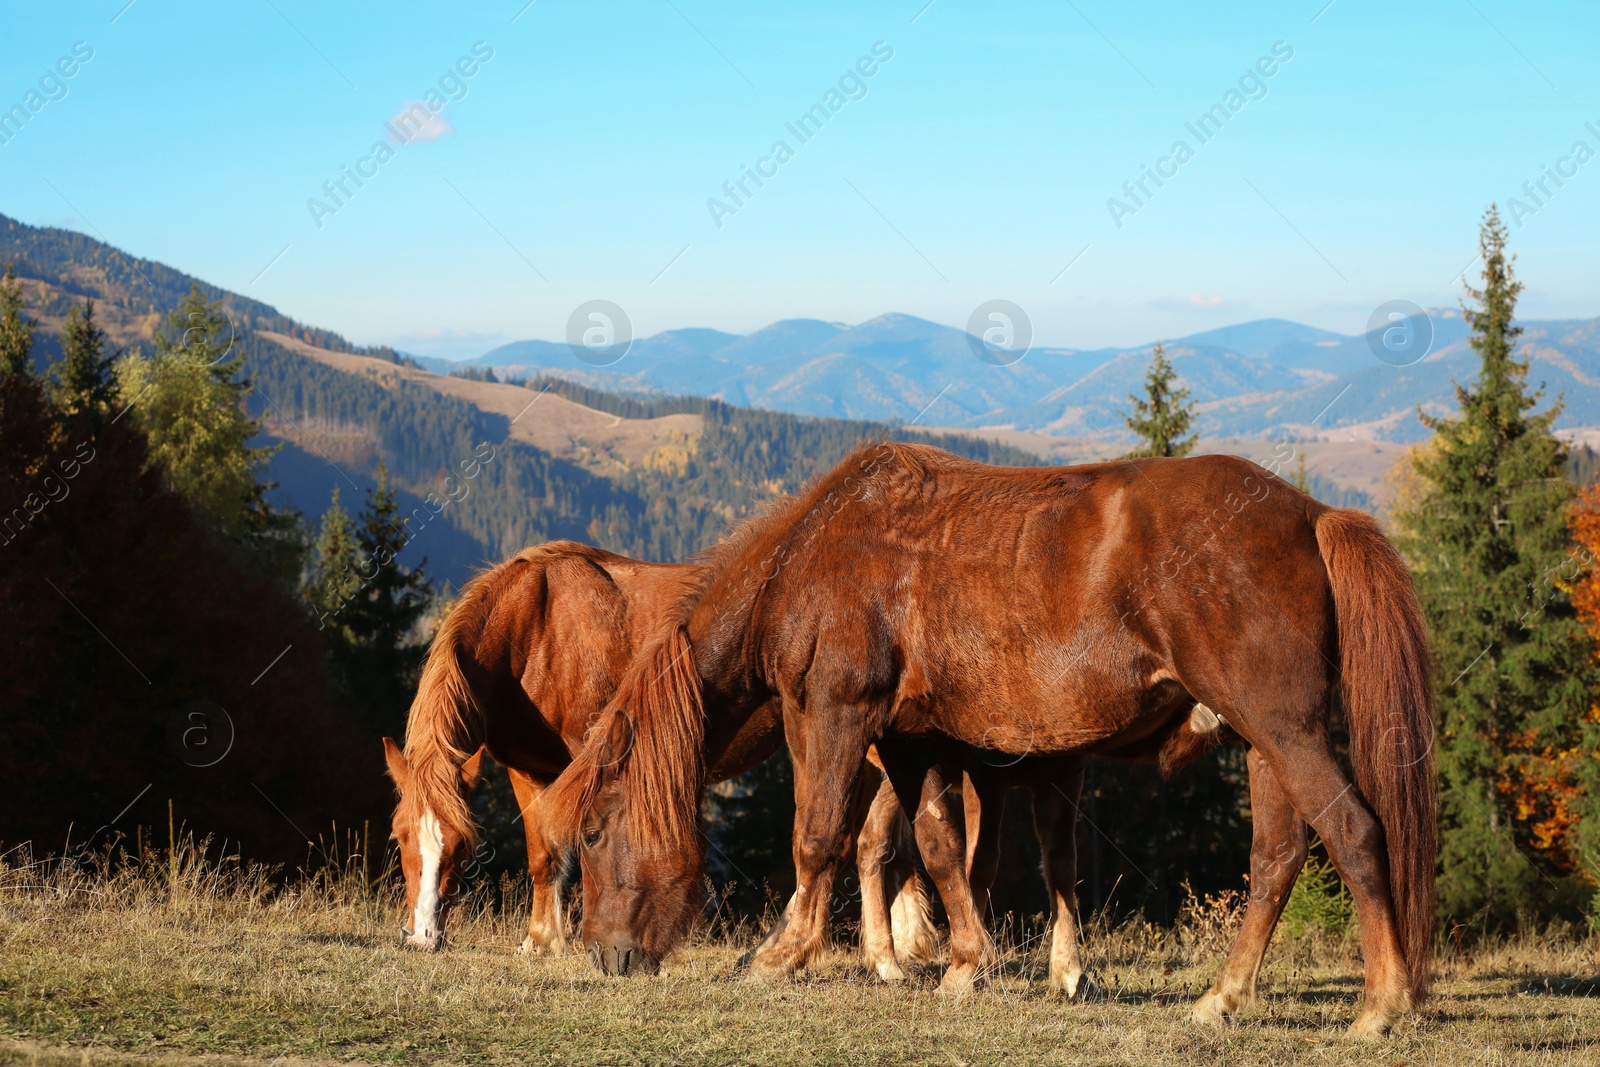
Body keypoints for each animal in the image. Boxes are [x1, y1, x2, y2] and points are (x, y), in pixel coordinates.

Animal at [382, 543, 934, 979]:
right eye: (400, 837)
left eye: (460, 846)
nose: (423, 936)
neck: (535, 625)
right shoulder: (526, 768)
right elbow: (543, 853)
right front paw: (539, 940)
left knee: (872, 844)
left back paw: (884, 959)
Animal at [540, 441, 1440, 1036]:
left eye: (596, 831)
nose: (602, 954)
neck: (813, 555)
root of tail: (1314, 515)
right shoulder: (911, 740)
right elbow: (939, 845)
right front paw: (965, 963)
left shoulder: (831, 713)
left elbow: (817, 837)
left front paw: (778, 954)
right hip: (1264, 740)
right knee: (1279, 854)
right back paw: (1224, 996)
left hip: (1284, 730)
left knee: (1355, 831)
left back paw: (1382, 1004)